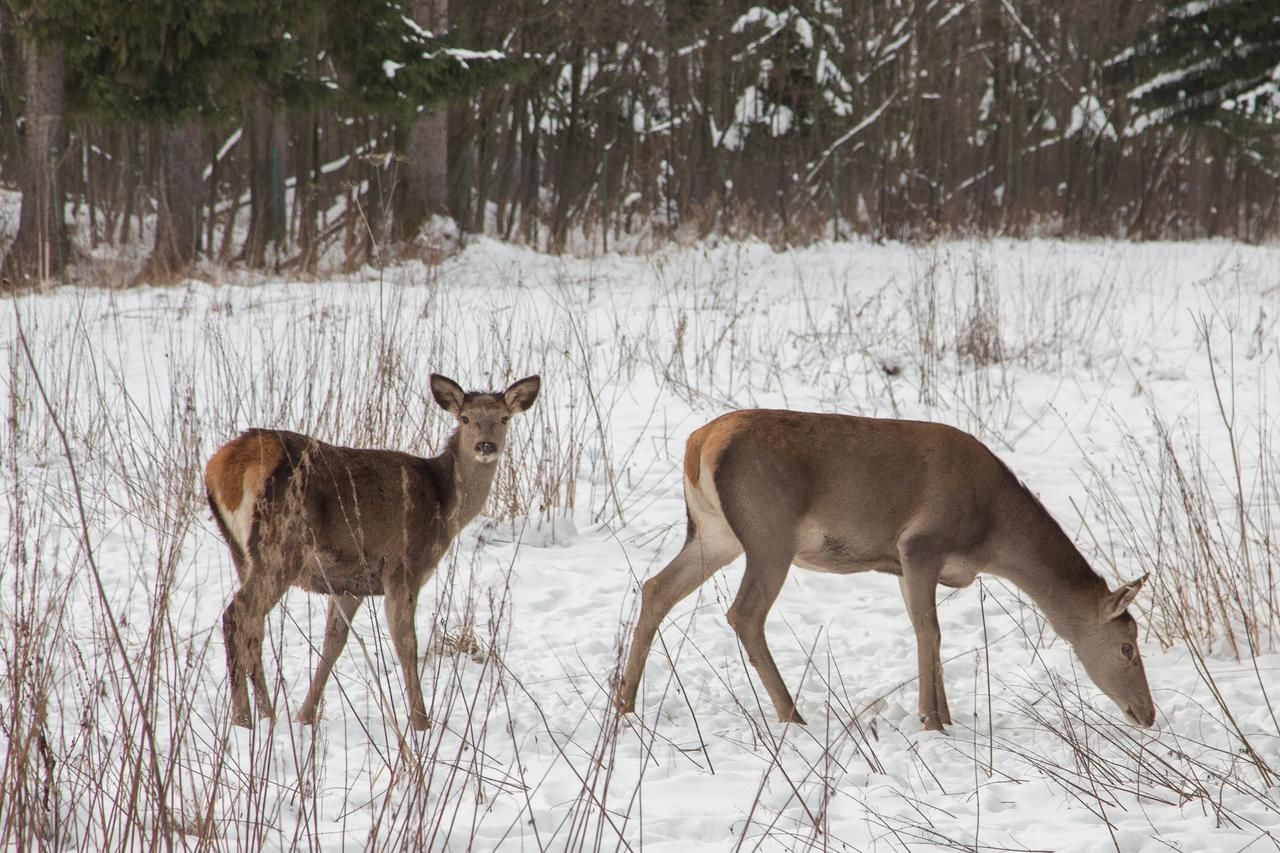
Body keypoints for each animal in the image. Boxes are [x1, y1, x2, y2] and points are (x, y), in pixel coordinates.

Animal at [203, 368, 540, 727]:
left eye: (503, 418)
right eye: (465, 418)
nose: (485, 446)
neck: (443, 505)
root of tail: (226, 465)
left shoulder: (350, 584)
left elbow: (334, 643)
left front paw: (305, 716)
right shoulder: (402, 566)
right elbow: (407, 645)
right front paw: (421, 724)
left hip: (241, 552)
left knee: (254, 627)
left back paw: (267, 715)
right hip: (282, 543)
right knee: (238, 613)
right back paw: (244, 719)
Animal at [614, 409, 1157, 727]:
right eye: (1127, 646)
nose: (1148, 715)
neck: (992, 533)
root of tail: (697, 444)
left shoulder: (902, 564)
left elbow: (929, 633)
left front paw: (943, 717)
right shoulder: (920, 544)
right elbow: (929, 630)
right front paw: (933, 720)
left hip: (715, 533)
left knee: (656, 587)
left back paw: (624, 703)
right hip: (769, 531)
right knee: (744, 613)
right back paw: (792, 715)